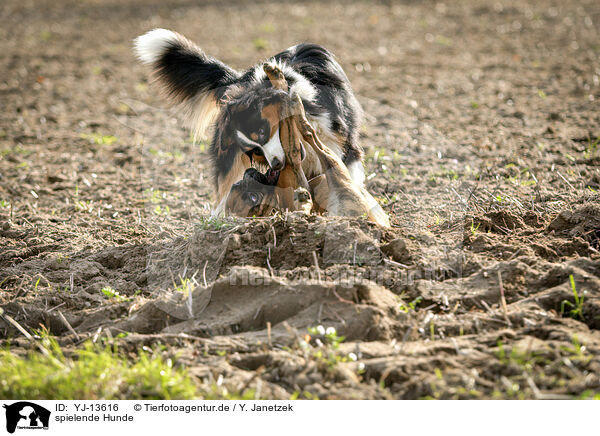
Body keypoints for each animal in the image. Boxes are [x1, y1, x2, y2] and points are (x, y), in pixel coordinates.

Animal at [134, 29, 364, 215]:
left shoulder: (340, 141)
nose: (277, 164)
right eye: (256, 151)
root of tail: (237, 80)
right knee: (224, 185)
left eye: (263, 131)